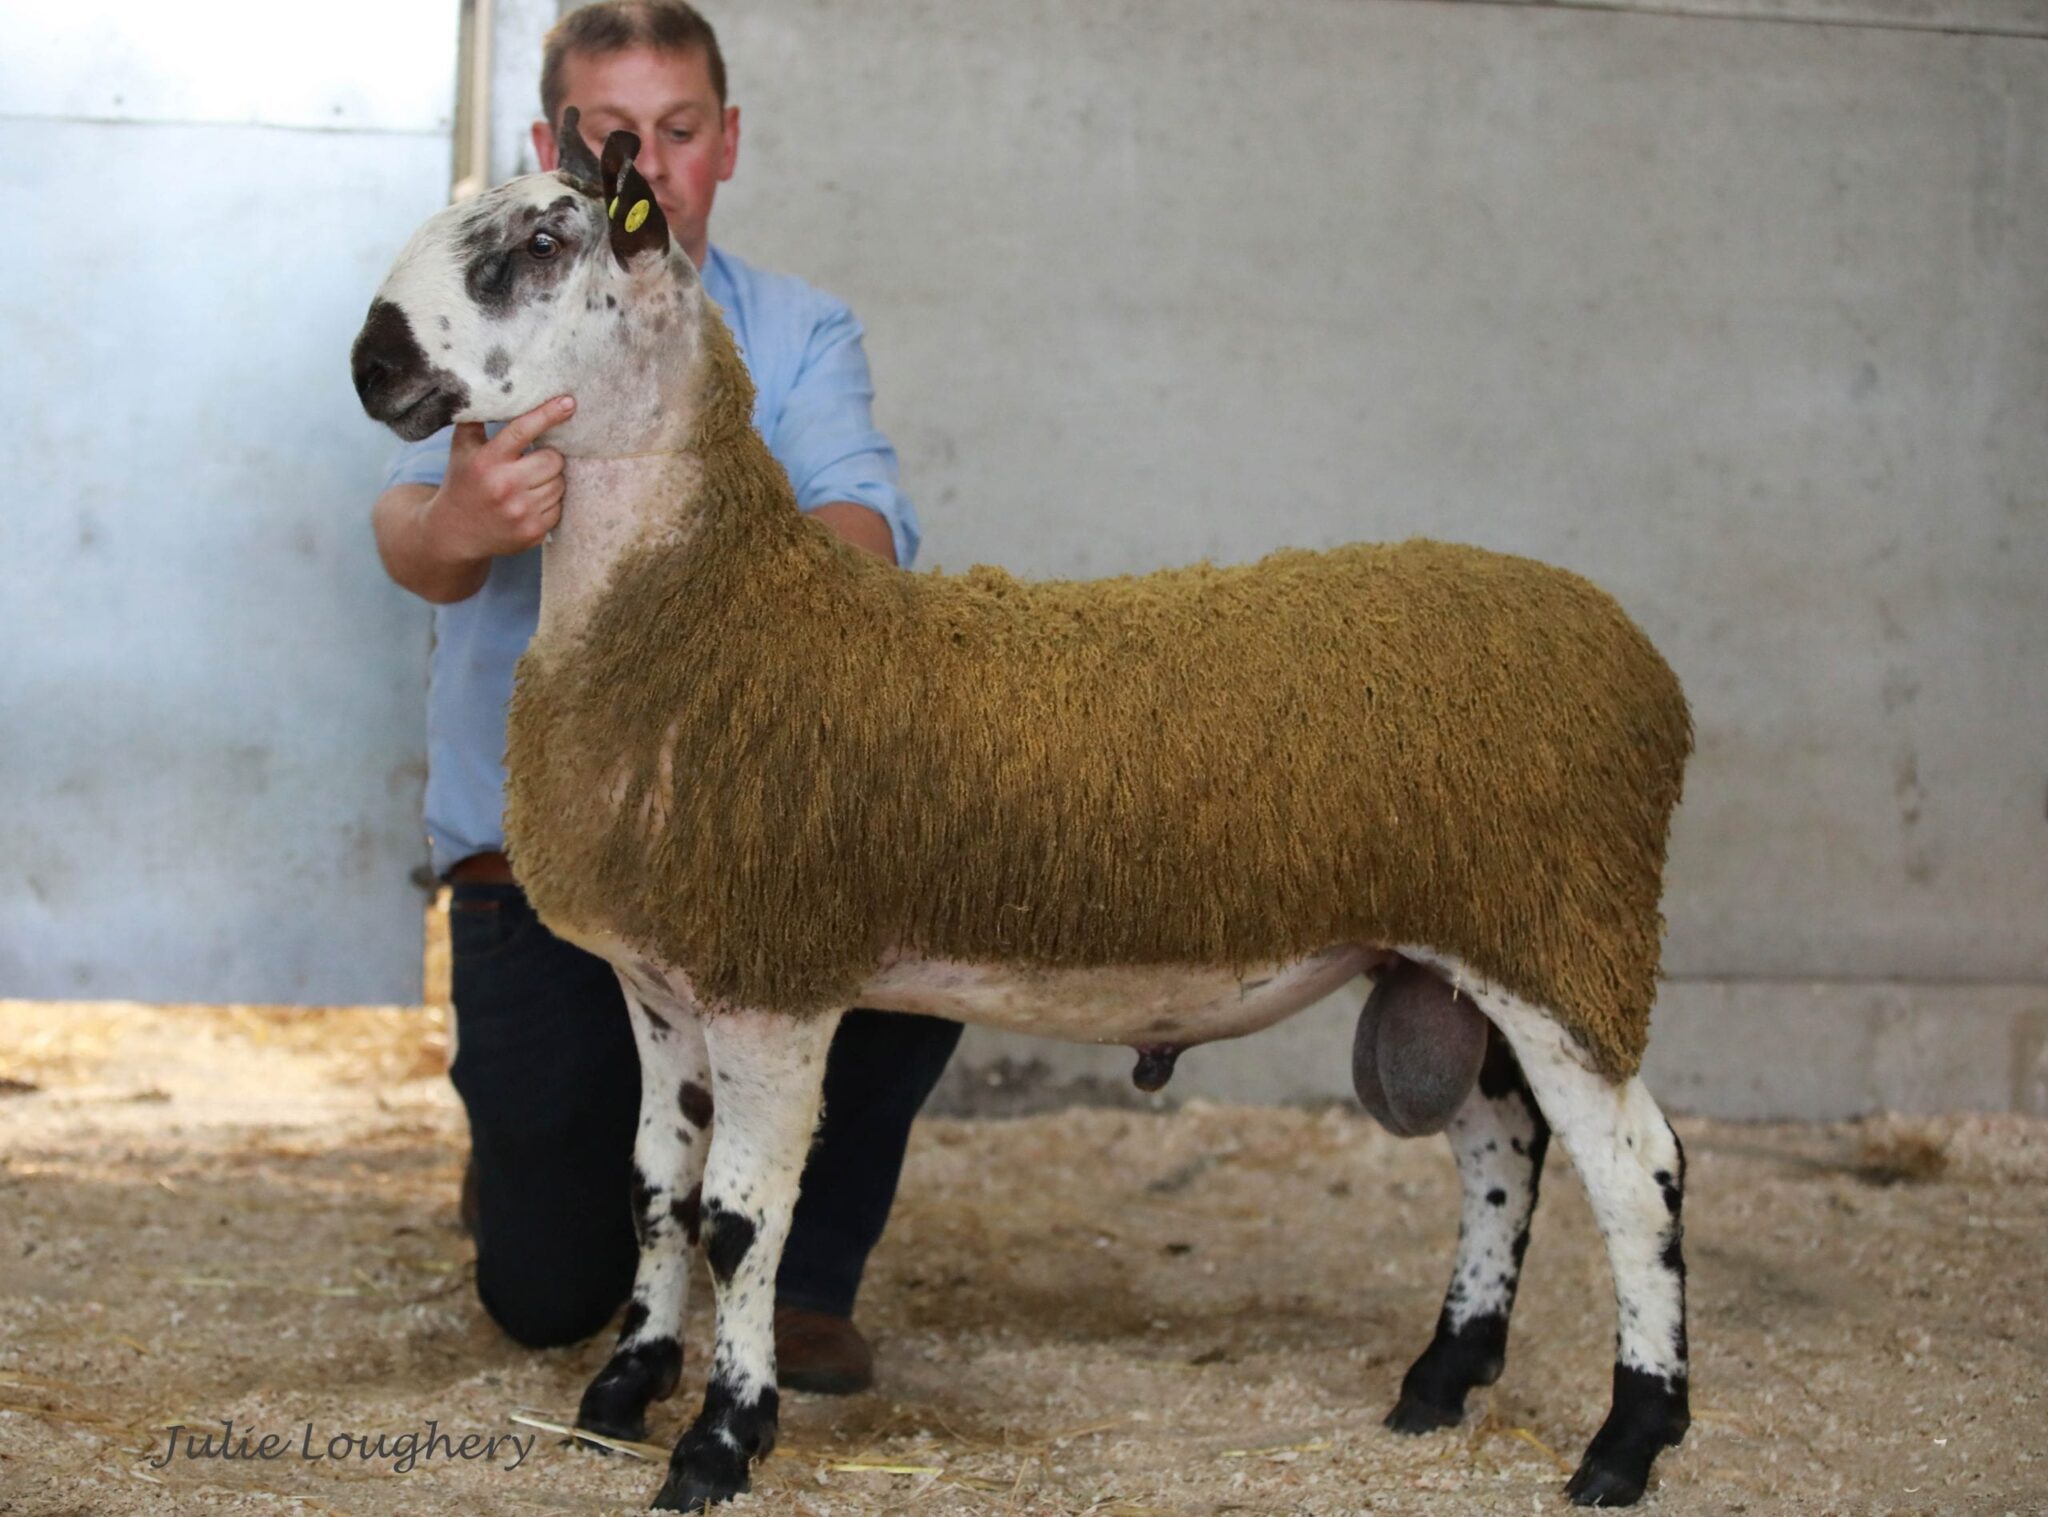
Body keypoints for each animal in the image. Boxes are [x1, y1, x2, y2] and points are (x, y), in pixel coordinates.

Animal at [352, 124, 1695, 1506]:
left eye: (541, 243)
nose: (371, 365)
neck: (712, 606)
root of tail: (1632, 656)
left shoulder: (772, 983)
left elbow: (737, 1221)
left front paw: (720, 1438)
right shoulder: (661, 985)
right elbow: (655, 1195)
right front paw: (623, 1387)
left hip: (1557, 938)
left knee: (1636, 1171)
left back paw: (1626, 1437)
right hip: (1452, 952)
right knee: (1501, 1146)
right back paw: (1440, 1377)